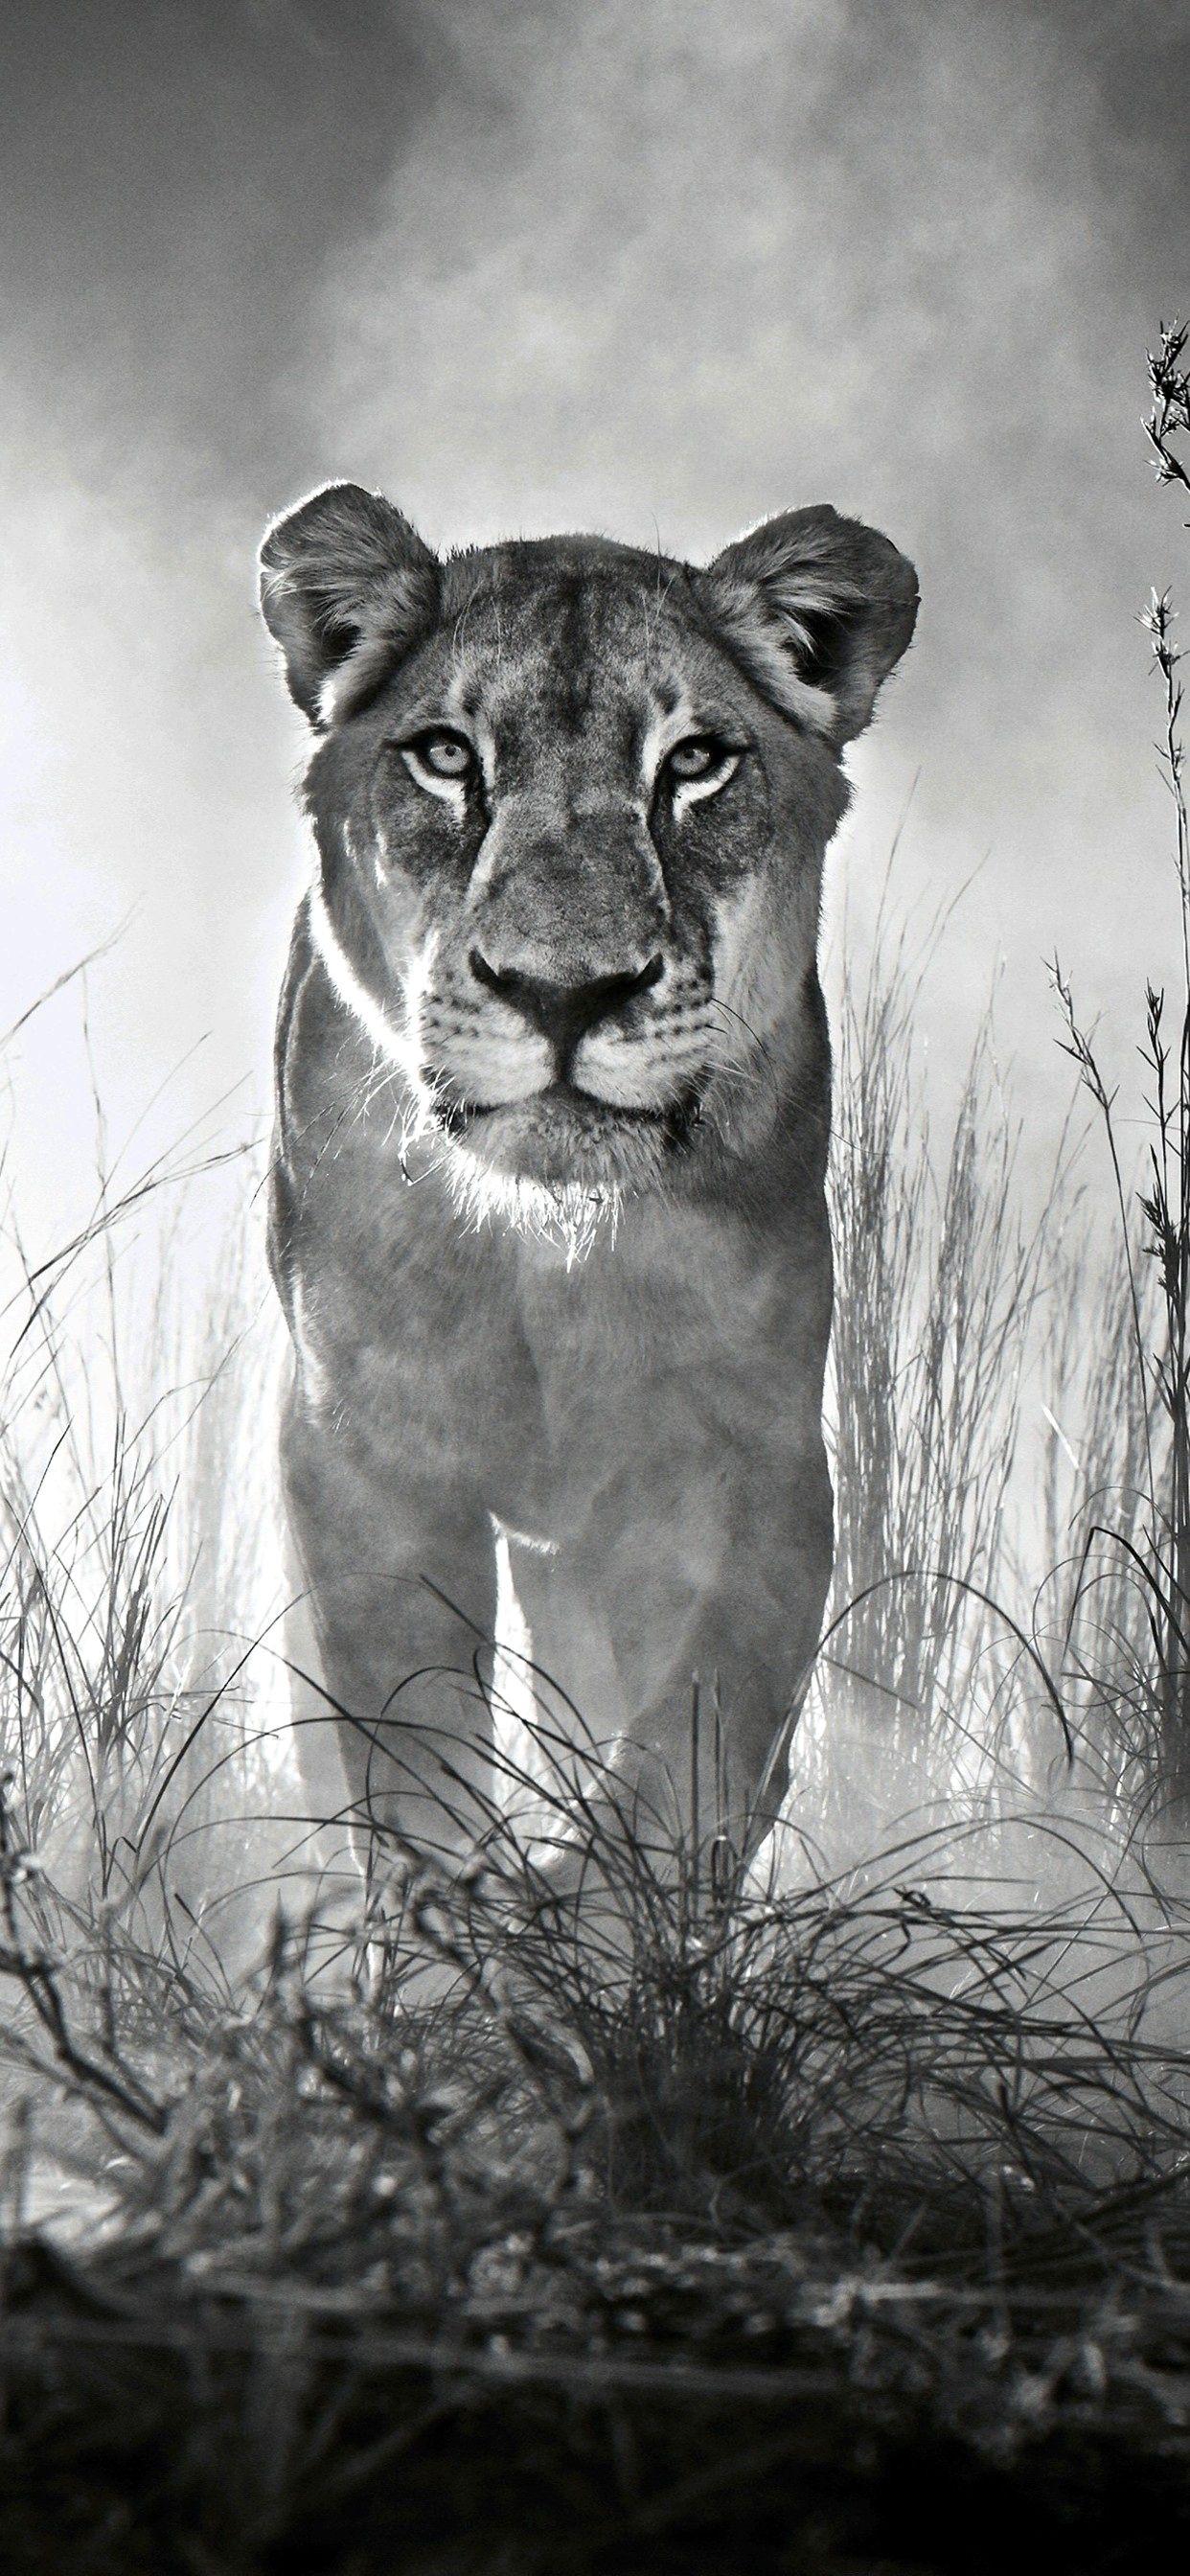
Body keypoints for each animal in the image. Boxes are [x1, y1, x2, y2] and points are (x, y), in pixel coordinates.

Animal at [258, 484, 917, 1909]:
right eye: (445, 756)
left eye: (696, 761)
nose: (564, 991)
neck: (546, 1257)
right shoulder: (361, 1449)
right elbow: (406, 1744)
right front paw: (460, 1933)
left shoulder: (751, 1456)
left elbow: (697, 1737)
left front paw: (596, 1914)